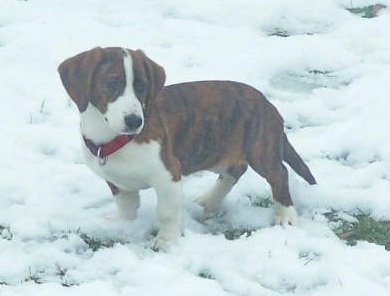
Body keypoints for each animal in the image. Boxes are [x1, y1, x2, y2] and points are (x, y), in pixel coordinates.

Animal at [58, 47, 316, 246]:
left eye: (142, 86)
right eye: (112, 84)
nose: (134, 121)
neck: (115, 137)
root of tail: (267, 103)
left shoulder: (168, 175)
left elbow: (167, 211)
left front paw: (166, 240)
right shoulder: (115, 179)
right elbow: (126, 204)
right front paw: (121, 223)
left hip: (260, 149)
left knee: (279, 174)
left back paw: (285, 215)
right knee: (235, 170)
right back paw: (210, 200)